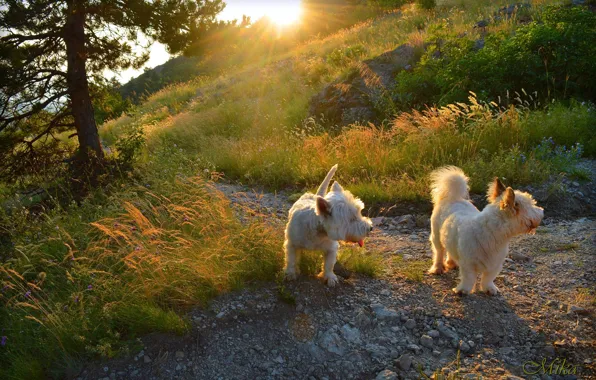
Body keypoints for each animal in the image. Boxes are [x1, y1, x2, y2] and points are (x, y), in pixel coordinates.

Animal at [426, 168, 544, 296]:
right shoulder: (468, 265)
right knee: (439, 253)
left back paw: (451, 263)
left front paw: (489, 288)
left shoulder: (495, 265)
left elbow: (488, 278)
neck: (491, 233)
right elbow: (468, 278)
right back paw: (437, 268)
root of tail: (452, 198)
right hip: (436, 237)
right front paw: (463, 289)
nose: (542, 211)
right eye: (532, 206)